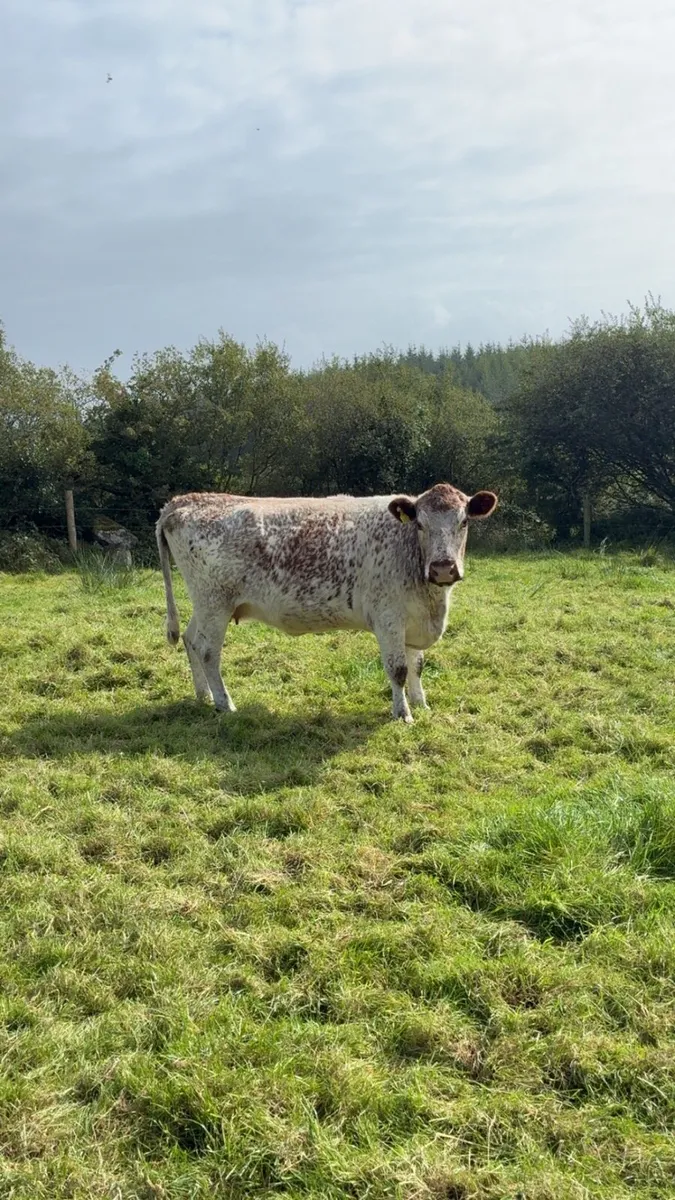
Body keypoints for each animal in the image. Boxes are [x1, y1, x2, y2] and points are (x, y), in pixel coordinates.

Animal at [156, 483, 497, 723]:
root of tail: (184, 500)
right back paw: (224, 703)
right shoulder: (389, 618)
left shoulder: (413, 620)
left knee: (190, 640)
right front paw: (403, 714)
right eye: (420, 525)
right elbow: (398, 669)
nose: (442, 568)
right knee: (207, 650)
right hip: (215, 602)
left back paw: (202, 695)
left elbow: (417, 665)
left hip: (205, 605)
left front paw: (420, 703)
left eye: (464, 522)